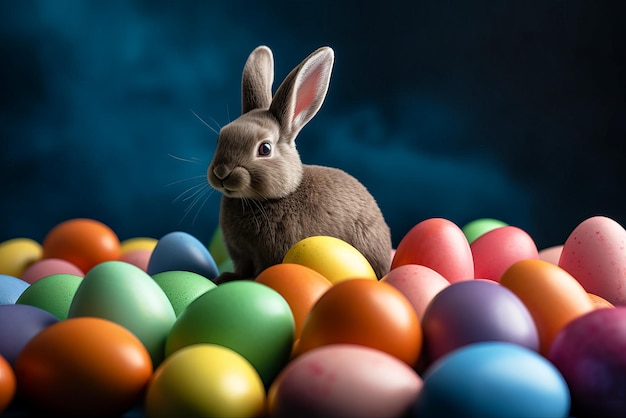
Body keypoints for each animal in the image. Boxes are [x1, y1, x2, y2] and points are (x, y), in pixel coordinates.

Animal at [207, 45, 388, 284]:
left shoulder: (269, 255)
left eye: (264, 149)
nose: (221, 172)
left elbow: (260, 272)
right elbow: (242, 269)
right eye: (221, 137)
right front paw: (225, 278)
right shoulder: (242, 255)